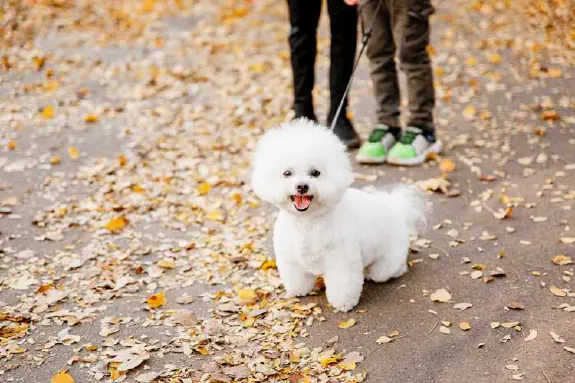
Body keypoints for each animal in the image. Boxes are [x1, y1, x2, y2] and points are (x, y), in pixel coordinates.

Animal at [253, 119, 428, 312]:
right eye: (287, 173)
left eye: (315, 173)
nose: (302, 186)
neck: (308, 222)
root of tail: (398, 208)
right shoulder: (291, 259)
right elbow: (297, 278)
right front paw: (299, 291)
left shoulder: (341, 260)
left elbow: (342, 284)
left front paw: (343, 303)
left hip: (388, 260)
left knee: (387, 270)